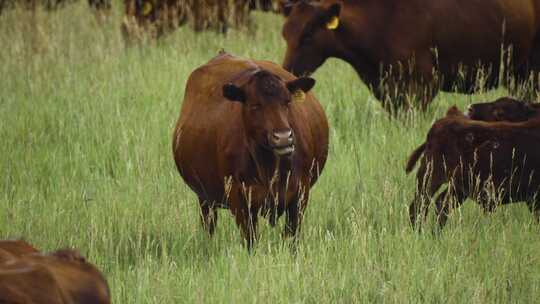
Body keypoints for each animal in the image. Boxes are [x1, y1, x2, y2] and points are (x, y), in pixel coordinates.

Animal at [173, 51, 330, 248]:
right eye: (255, 105)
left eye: (287, 102)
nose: (283, 137)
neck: (269, 167)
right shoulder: (240, 200)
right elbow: (251, 241)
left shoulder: (300, 194)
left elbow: (292, 238)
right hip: (204, 198)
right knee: (208, 225)